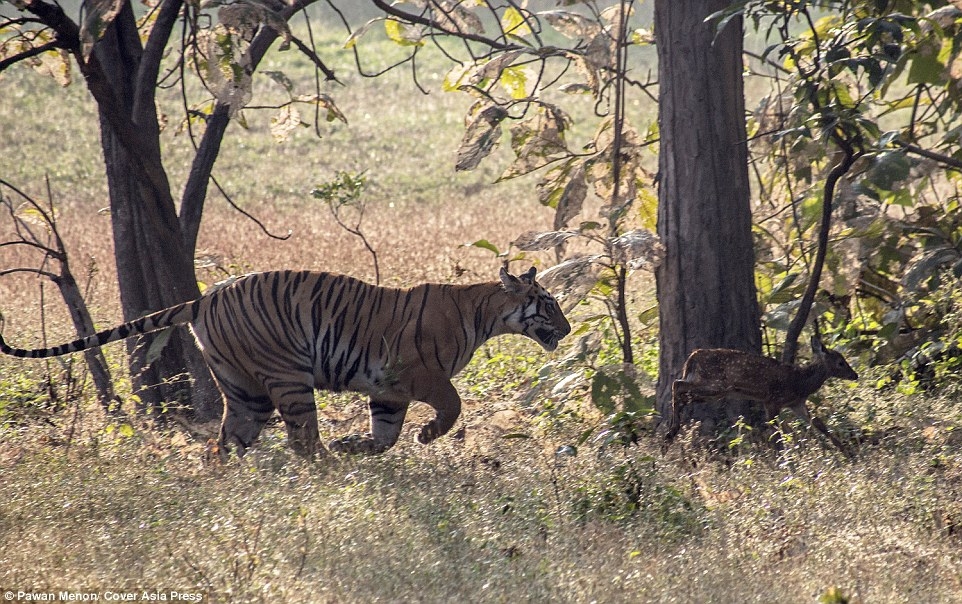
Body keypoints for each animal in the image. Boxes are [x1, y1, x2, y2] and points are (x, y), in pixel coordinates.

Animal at [0, 266, 568, 460]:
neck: (486, 312)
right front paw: (426, 437)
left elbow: (385, 436)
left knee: (225, 444)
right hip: (289, 377)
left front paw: (358, 445)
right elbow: (452, 407)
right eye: (549, 303)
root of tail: (203, 299)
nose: (565, 329)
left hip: (244, 389)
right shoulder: (418, 375)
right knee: (303, 443)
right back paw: (332, 468)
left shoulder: (387, 389)